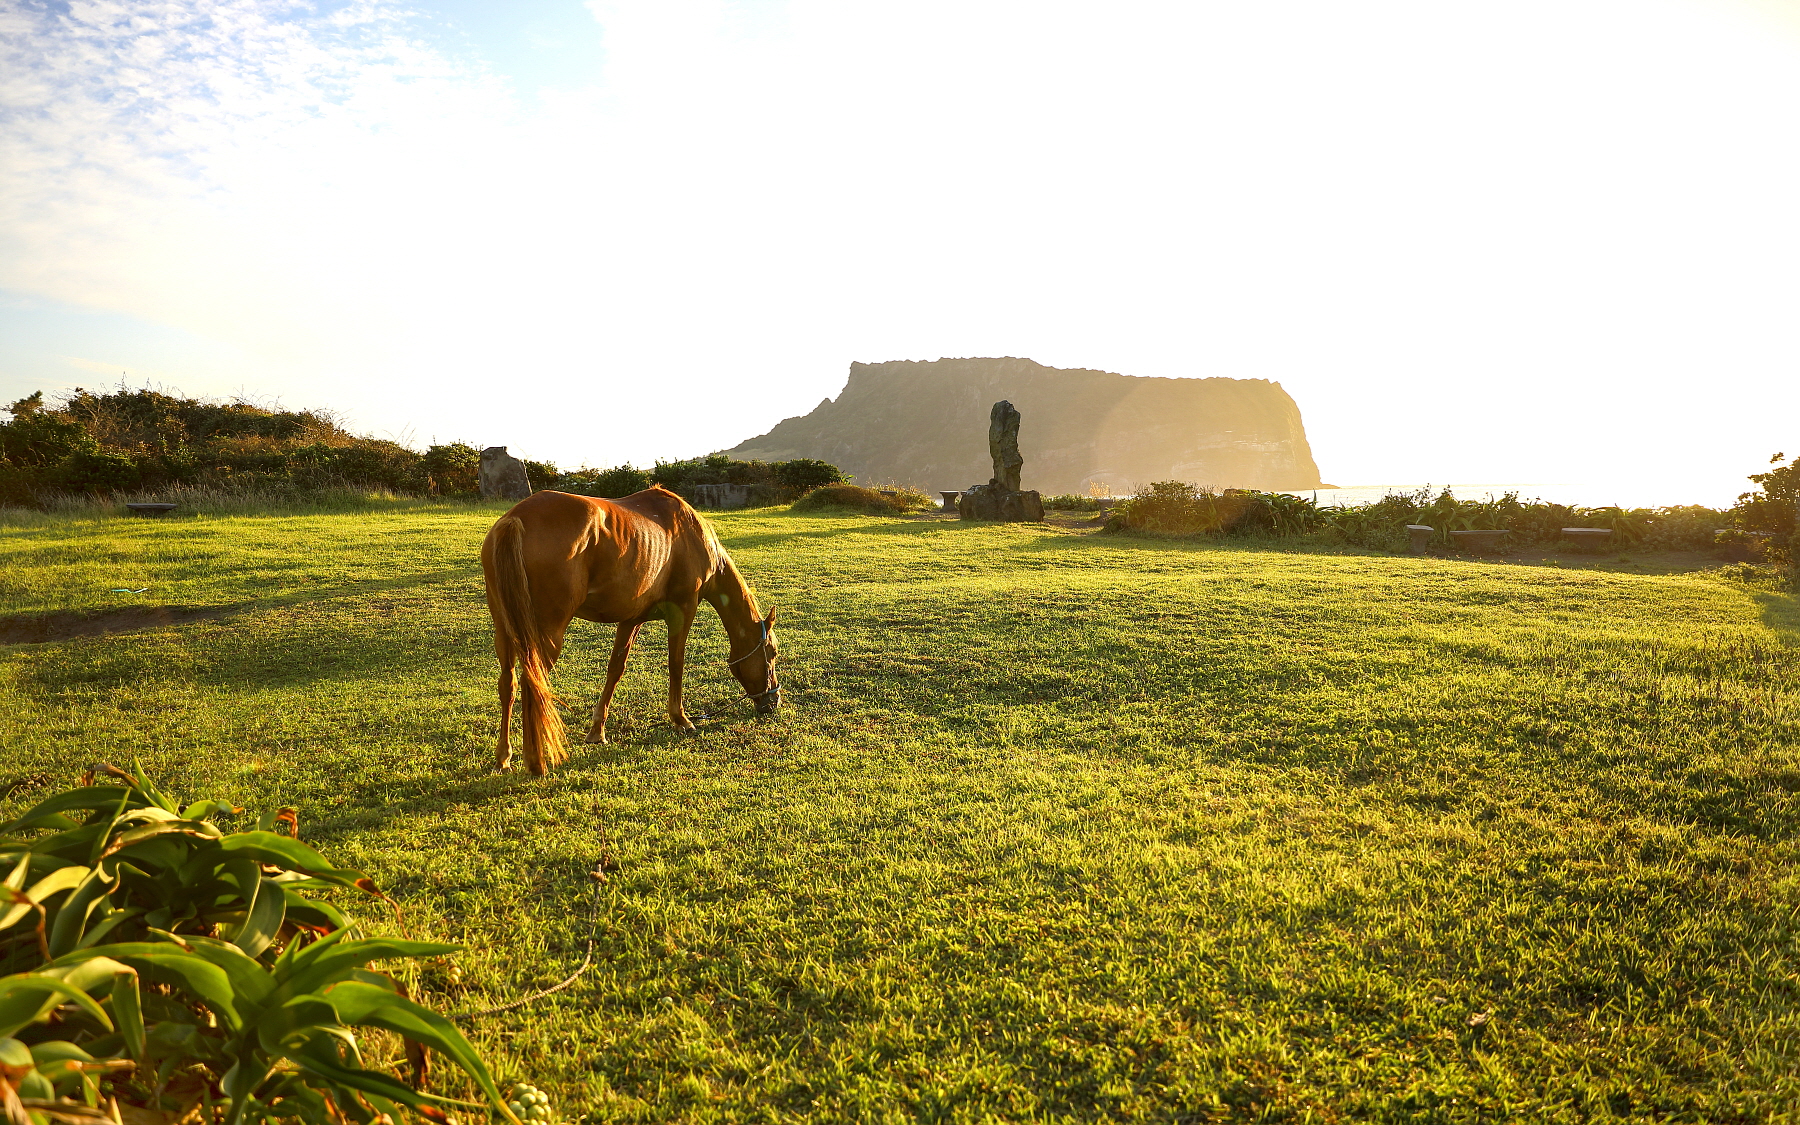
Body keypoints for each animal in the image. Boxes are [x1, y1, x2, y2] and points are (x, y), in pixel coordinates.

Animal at [480, 486, 780, 774]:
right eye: (773, 652)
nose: (773, 700)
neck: (691, 533)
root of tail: (515, 519)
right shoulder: (683, 609)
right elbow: (676, 664)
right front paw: (681, 719)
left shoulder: (631, 619)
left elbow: (615, 669)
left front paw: (597, 731)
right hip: (547, 634)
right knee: (533, 684)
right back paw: (535, 762)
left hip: (505, 630)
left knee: (508, 684)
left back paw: (503, 758)